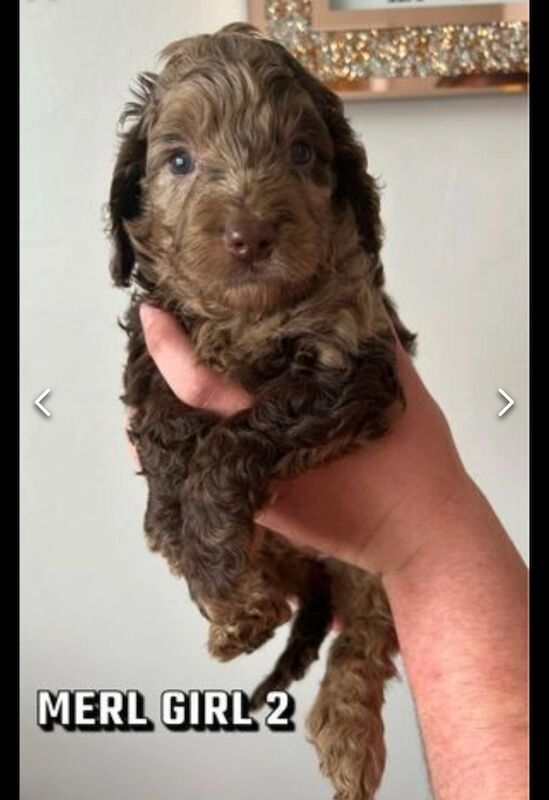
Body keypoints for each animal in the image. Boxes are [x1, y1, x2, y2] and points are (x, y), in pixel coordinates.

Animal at [107, 23, 416, 800]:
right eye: (179, 160)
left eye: (302, 153)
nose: (249, 236)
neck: (246, 319)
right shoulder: (155, 340)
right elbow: (164, 431)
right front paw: (181, 536)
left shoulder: (351, 360)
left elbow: (233, 441)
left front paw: (214, 560)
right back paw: (243, 614)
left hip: (371, 574)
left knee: (364, 637)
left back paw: (346, 734)